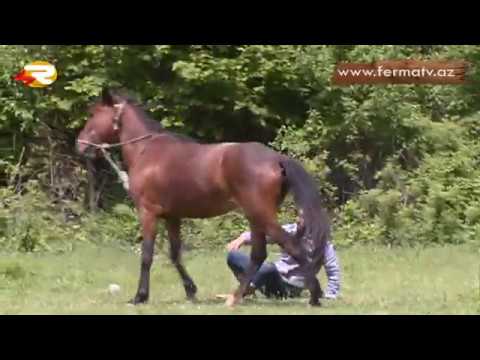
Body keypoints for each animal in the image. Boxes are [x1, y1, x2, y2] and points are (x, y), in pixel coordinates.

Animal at [76, 88, 330, 306]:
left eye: (94, 114)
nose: (80, 145)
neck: (147, 151)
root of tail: (276, 158)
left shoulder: (148, 212)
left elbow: (147, 255)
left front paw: (140, 296)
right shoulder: (172, 216)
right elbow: (175, 254)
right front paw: (190, 290)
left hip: (261, 215)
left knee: (293, 247)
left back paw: (314, 295)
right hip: (255, 217)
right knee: (259, 254)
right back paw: (235, 298)